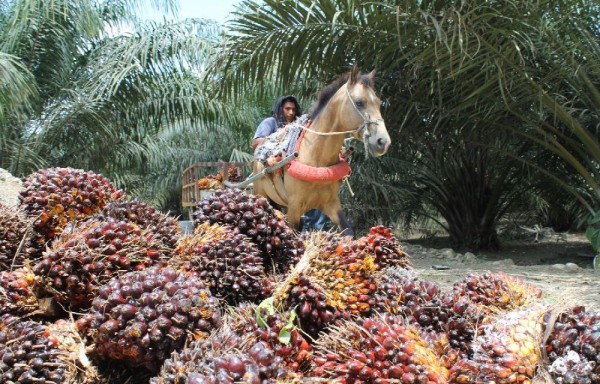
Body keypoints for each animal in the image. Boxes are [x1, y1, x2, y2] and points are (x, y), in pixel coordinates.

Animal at [251, 66, 392, 236]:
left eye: (378, 102)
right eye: (359, 102)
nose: (383, 142)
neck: (315, 157)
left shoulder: (331, 203)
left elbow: (348, 231)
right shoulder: (294, 207)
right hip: (259, 194)